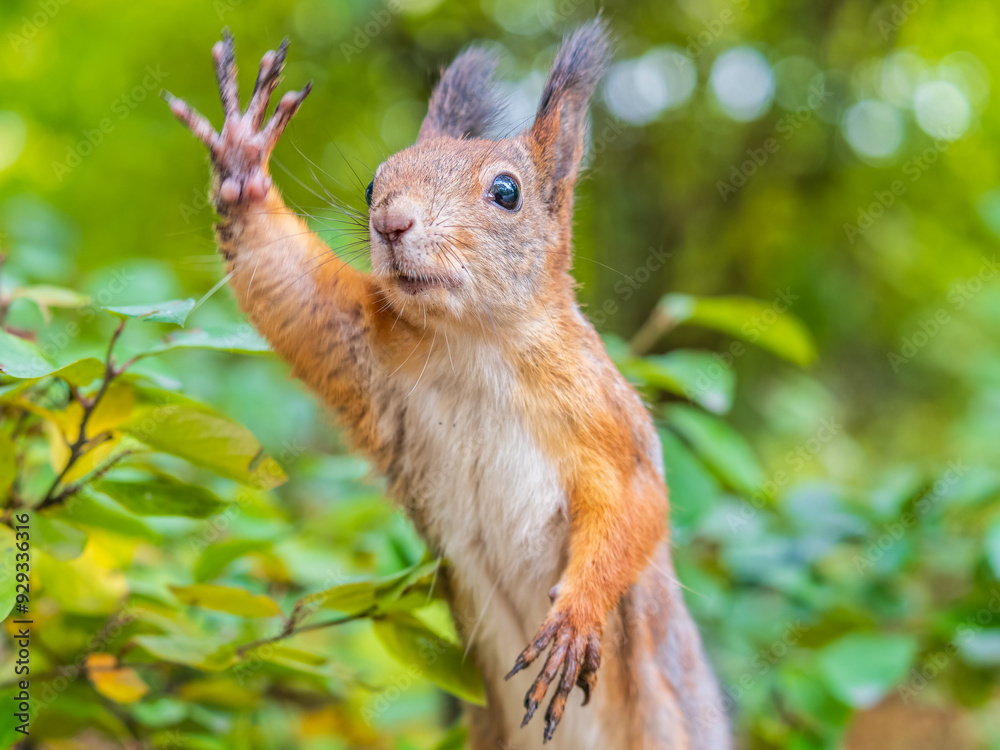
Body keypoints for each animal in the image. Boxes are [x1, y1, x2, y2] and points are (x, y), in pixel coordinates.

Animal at [164, 19, 730, 750]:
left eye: (507, 192)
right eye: (373, 185)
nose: (390, 223)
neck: (472, 345)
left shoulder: (607, 417)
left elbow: (636, 505)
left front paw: (576, 617)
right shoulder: (363, 347)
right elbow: (295, 296)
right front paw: (241, 161)